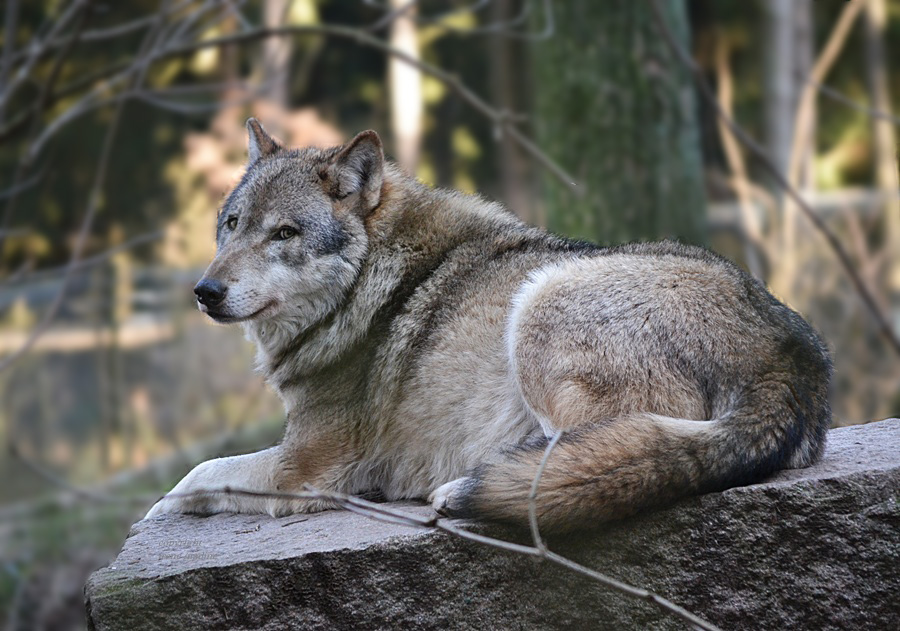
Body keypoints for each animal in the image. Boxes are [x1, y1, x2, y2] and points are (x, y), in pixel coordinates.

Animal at [146, 121, 828, 532]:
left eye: (284, 233)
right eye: (232, 224)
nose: (205, 292)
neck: (368, 285)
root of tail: (793, 356)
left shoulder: (304, 467)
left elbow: (195, 475)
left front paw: (152, 514)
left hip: (541, 308)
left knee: (598, 459)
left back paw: (464, 489)